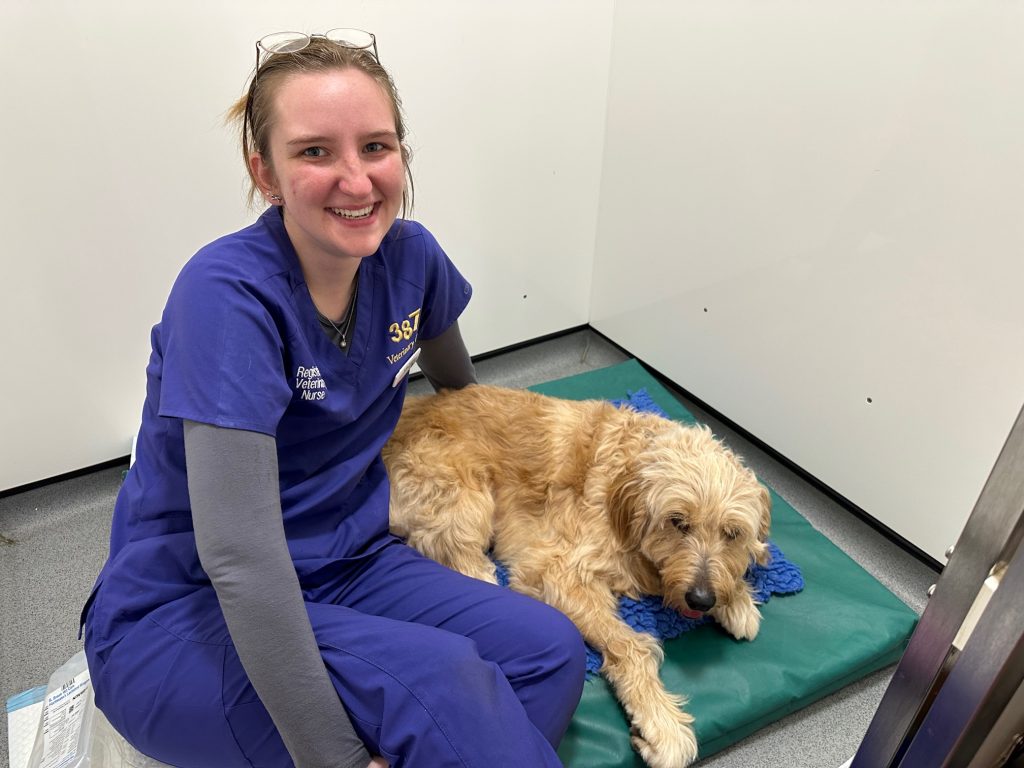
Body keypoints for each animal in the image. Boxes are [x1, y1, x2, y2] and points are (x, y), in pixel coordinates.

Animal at [385, 387, 770, 765]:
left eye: (732, 533)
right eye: (677, 521)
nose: (701, 599)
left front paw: (737, 600)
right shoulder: (559, 572)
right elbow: (632, 646)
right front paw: (661, 722)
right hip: (463, 502)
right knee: (466, 562)